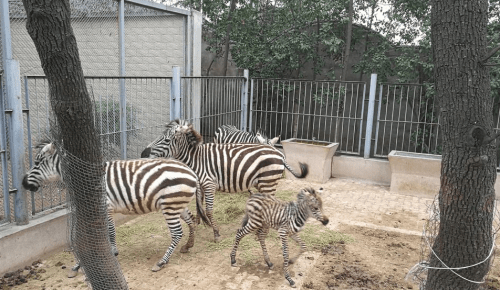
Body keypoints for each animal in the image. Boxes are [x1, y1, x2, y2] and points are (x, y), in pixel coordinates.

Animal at [21, 142, 209, 276]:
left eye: (37, 162)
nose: (23, 183)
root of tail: (191, 171)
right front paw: (81, 264)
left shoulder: (105, 206)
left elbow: (109, 231)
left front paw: (110, 253)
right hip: (177, 204)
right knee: (191, 220)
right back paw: (188, 246)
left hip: (170, 205)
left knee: (177, 232)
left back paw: (162, 262)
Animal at [139, 119, 306, 241]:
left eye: (167, 140)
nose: (143, 154)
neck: (196, 159)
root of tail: (279, 154)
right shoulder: (200, 184)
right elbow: (199, 205)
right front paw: (198, 223)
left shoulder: (209, 184)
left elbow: (209, 210)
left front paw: (216, 233)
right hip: (264, 182)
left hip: (268, 181)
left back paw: (261, 233)